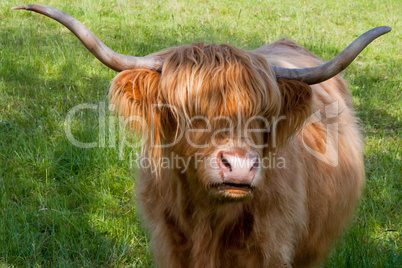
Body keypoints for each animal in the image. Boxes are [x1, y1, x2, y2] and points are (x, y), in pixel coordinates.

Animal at [14, 4, 392, 268]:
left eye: (263, 115)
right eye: (187, 110)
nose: (239, 165)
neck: (207, 221)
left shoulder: (272, 246)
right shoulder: (170, 243)